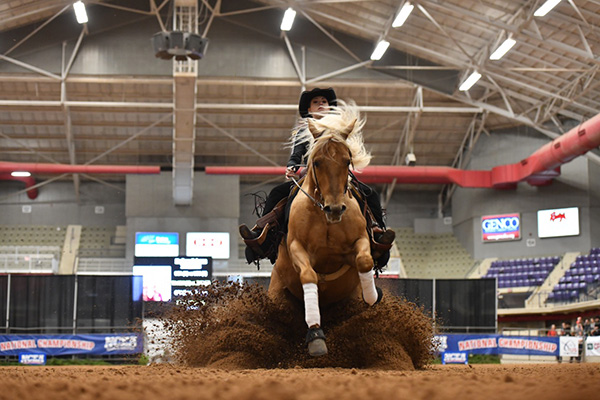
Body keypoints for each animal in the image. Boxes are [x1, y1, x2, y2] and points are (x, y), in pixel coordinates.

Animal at [268, 101, 382, 356]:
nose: (335, 209)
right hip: (276, 293)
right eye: (317, 161)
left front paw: (372, 297)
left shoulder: (360, 241)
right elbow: (308, 275)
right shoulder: (296, 247)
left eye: (347, 161)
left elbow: (365, 261)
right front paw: (316, 335)